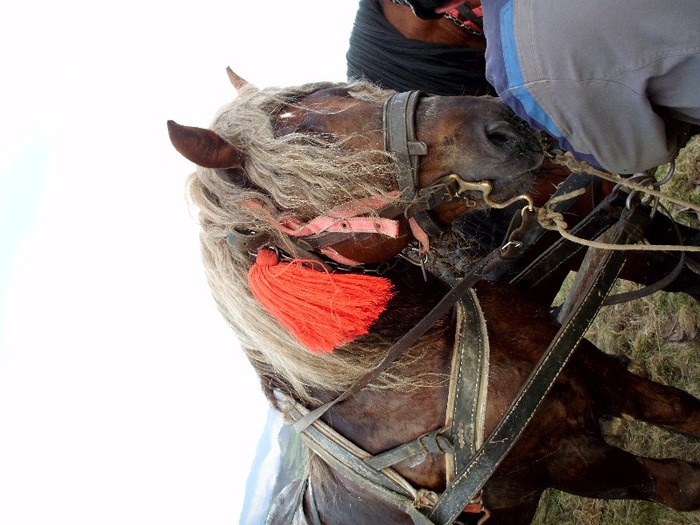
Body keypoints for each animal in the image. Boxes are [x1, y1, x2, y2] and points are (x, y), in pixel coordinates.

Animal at [168, 78, 700, 524]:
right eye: (317, 144)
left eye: (347, 93)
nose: (503, 125)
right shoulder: (565, 459)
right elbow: (682, 484)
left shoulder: (587, 367)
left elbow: (682, 409)